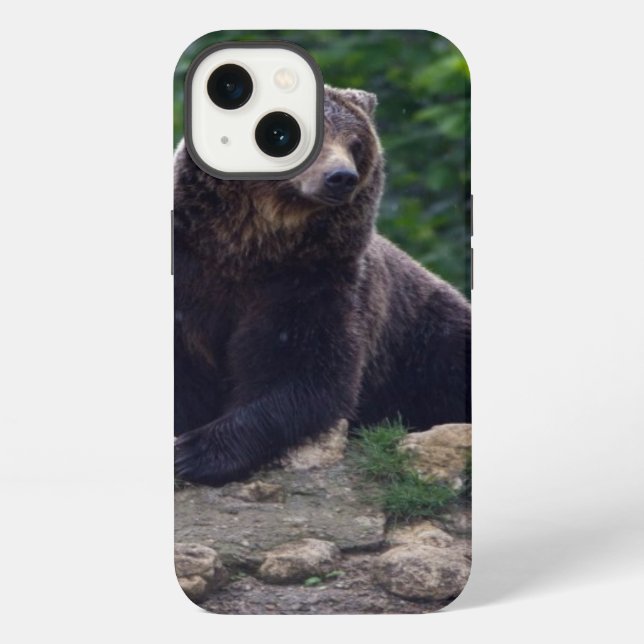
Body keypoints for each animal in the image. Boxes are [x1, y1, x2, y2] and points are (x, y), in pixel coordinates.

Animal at [174, 85, 471, 486]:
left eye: (356, 143)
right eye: (282, 134)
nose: (341, 177)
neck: (249, 245)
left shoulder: (312, 279)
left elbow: (306, 371)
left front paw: (196, 451)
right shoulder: (190, 270)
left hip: (428, 341)